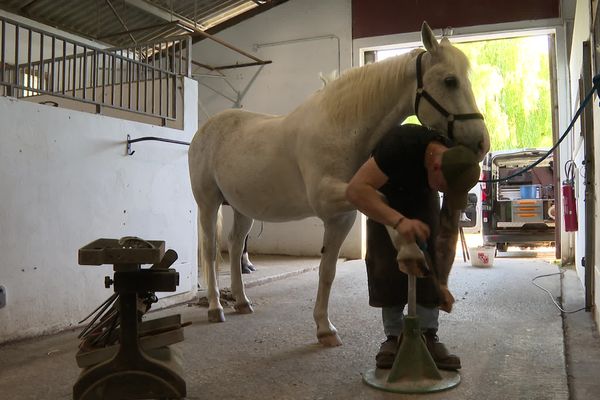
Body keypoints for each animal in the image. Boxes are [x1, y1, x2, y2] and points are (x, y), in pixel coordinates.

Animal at [190, 22, 490, 346]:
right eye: (450, 81)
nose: (482, 142)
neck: (338, 128)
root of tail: (205, 129)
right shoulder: (327, 198)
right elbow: (383, 203)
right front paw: (409, 249)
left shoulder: (342, 215)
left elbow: (329, 270)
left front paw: (324, 328)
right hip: (208, 203)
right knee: (209, 250)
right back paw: (215, 307)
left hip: (244, 207)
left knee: (234, 246)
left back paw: (242, 301)